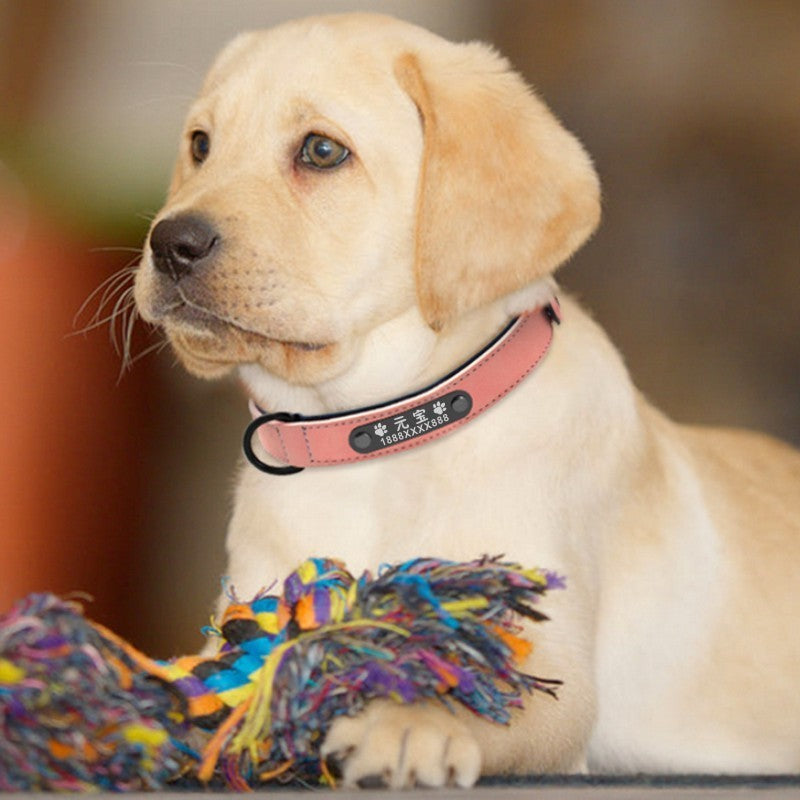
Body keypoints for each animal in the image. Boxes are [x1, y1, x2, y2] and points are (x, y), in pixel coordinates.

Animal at [133, 12, 800, 788]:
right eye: (200, 146)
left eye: (322, 151)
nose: (170, 243)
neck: (368, 432)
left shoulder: (553, 661)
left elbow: (478, 682)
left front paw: (406, 720)